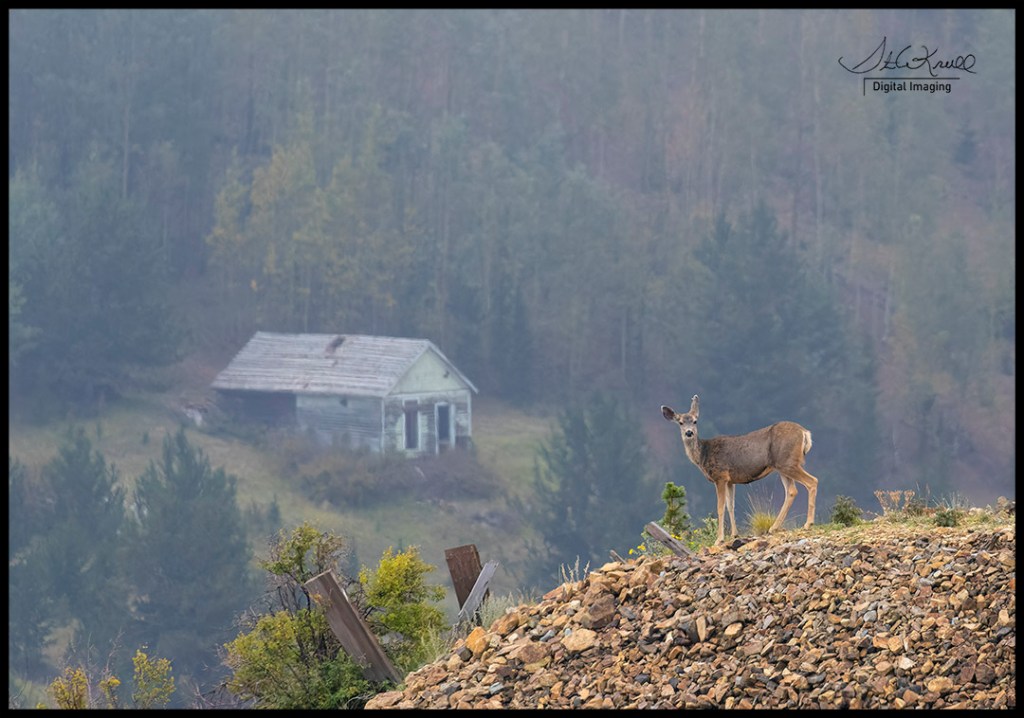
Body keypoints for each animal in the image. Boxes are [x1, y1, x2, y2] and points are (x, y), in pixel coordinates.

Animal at [661, 395, 819, 545]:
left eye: (695, 421)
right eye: (680, 422)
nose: (689, 433)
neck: (703, 454)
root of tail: (805, 432)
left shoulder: (720, 476)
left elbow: (720, 507)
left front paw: (719, 539)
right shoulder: (730, 480)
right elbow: (731, 505)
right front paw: (734, 534)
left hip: (788, 462)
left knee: (812, 481)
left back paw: (808, 523)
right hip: (782, 466)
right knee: (792, 491)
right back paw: (774, 527)